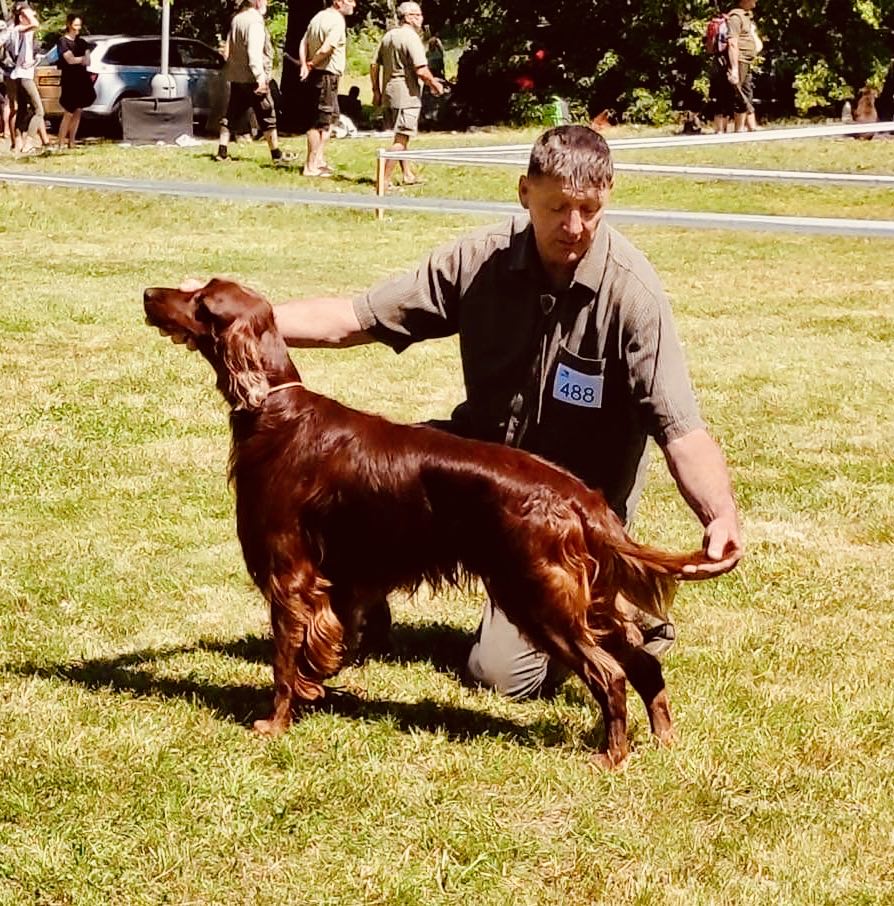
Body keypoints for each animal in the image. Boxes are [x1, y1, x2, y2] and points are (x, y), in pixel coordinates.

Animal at [145, 278, 712, 768]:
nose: (149, 293)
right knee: (643, 662)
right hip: (587, 600)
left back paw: (612, 756)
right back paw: (663, 739)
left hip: (539, 598)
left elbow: (284, 661)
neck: (273, 408)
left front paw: (275, 723)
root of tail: (579, 498)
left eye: (201, 301)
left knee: (610, 673)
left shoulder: (291, 575)